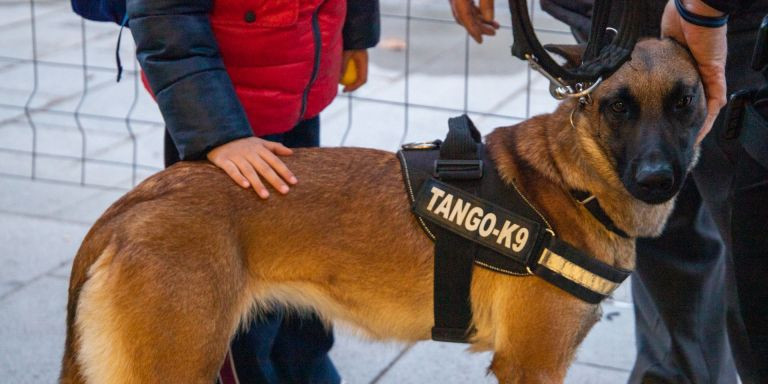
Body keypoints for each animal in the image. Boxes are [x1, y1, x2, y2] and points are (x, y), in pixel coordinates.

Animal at [61, 39, 708, 384]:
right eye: (618, 107)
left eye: (685, 103)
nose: (657, 180)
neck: (575, 181)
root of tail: (132, 203)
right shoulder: (532, 364)